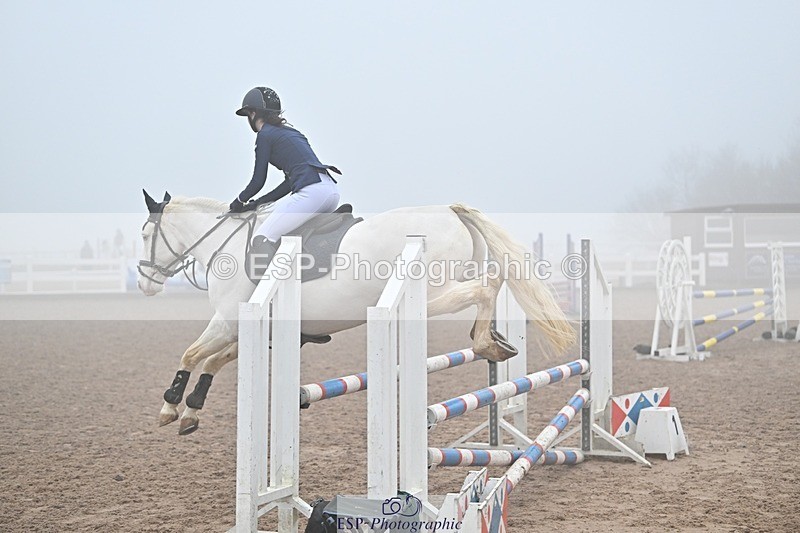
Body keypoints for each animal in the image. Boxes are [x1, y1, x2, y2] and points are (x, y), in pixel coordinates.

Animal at [138, 191, 574, 435]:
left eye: (144, 234)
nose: (145, 283)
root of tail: (450, 211)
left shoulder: (231, 321)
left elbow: (194, 354)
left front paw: (172, 406)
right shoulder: (255, 330)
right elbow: (210, 359)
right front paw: (190, 410)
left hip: (430, 295)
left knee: (486, 287)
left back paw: (486, 343)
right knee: (493, 282)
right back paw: (495, 343)